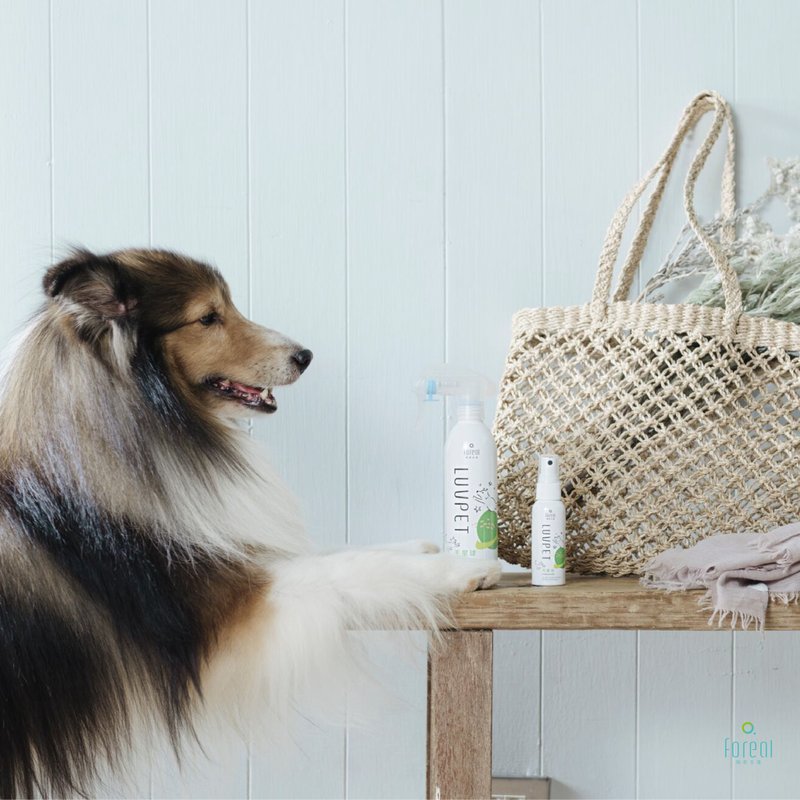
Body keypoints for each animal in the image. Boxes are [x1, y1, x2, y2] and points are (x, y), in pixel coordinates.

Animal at [0, 247, 500, 796]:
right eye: (208, 317)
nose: (305, 356)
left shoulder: (226, 544)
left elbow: (339, 552)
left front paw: (423, 547)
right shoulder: (231, 601)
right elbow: (341, 569)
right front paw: (462, 568)